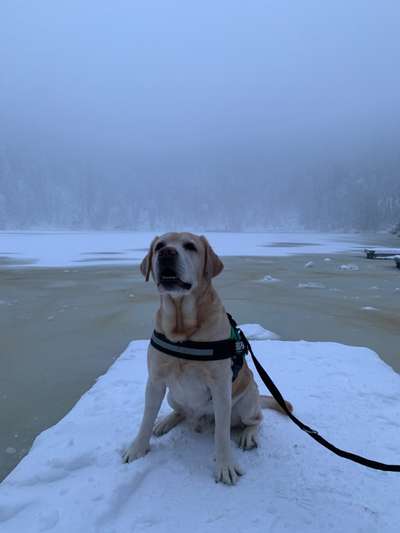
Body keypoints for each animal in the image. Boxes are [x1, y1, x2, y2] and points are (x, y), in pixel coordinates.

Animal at [122, 232, 290, 482]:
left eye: (190, 246)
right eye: (159, 246)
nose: (167, 253)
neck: (182, 331)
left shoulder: (220, 388)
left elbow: (221, 434)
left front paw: (225, 466)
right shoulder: (155, 381)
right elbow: (146, 419)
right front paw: (137, 449)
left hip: (247, 401)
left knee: (257, 420)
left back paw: (248, 435)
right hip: (173, 395)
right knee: (181, 411)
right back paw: (166, 422)